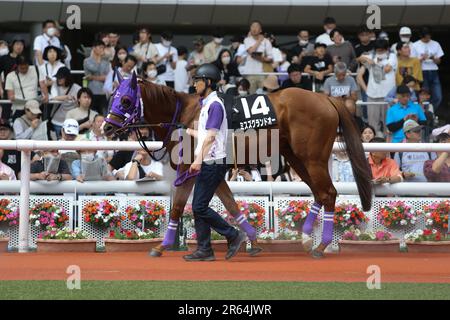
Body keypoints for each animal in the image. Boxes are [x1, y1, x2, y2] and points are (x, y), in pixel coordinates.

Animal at [103, 72, 370, 258]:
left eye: (125, 100)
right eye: (112, 97)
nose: (106, 127)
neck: (185, 115)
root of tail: (326, 98)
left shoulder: (190, 167)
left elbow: (178, 206)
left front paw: (162, 245)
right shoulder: (212, 170)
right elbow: (230, 204)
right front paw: (250, 239)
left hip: (313, 158)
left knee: (328, 193)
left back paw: (321, 245)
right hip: (296, 157)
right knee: (319, 193)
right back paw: (305, 238)